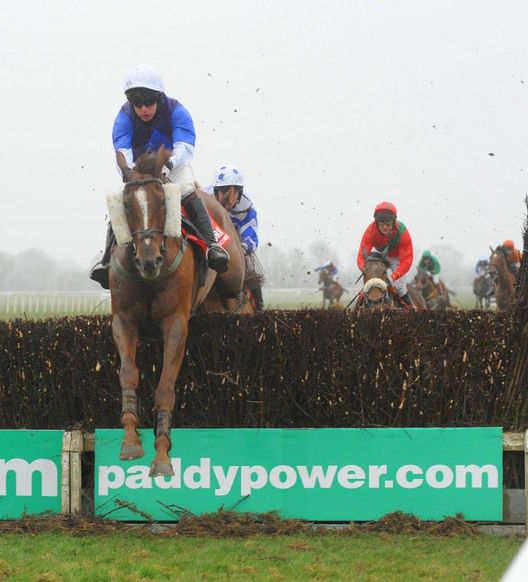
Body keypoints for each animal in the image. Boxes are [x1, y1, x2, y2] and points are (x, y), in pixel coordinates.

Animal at [106, 148, 245, 476]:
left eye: (161, 201)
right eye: (126, 204)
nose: (149, 260)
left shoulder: (175, 325)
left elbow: (165, 388)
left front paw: (162, 455)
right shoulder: (123, 321)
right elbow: (128, 375)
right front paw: (130, 441)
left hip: (233, 275)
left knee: (238, 293)